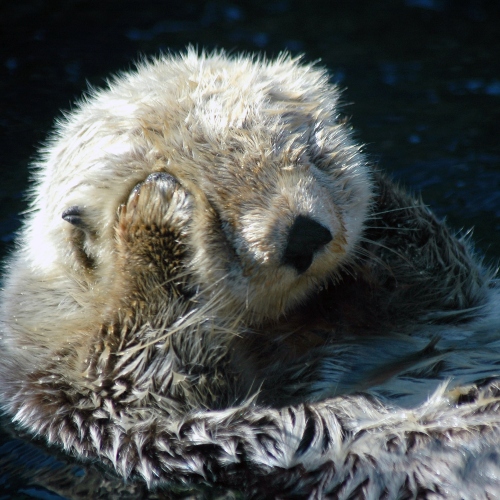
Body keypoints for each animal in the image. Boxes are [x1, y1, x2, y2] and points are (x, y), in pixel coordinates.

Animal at [0, 49, 500, 496]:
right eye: (216, 210)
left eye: (310, 155)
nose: (304, 233)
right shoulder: (81, 397)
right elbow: (139, 368)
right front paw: (156, 210)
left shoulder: (444, 309)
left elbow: (444, 277)